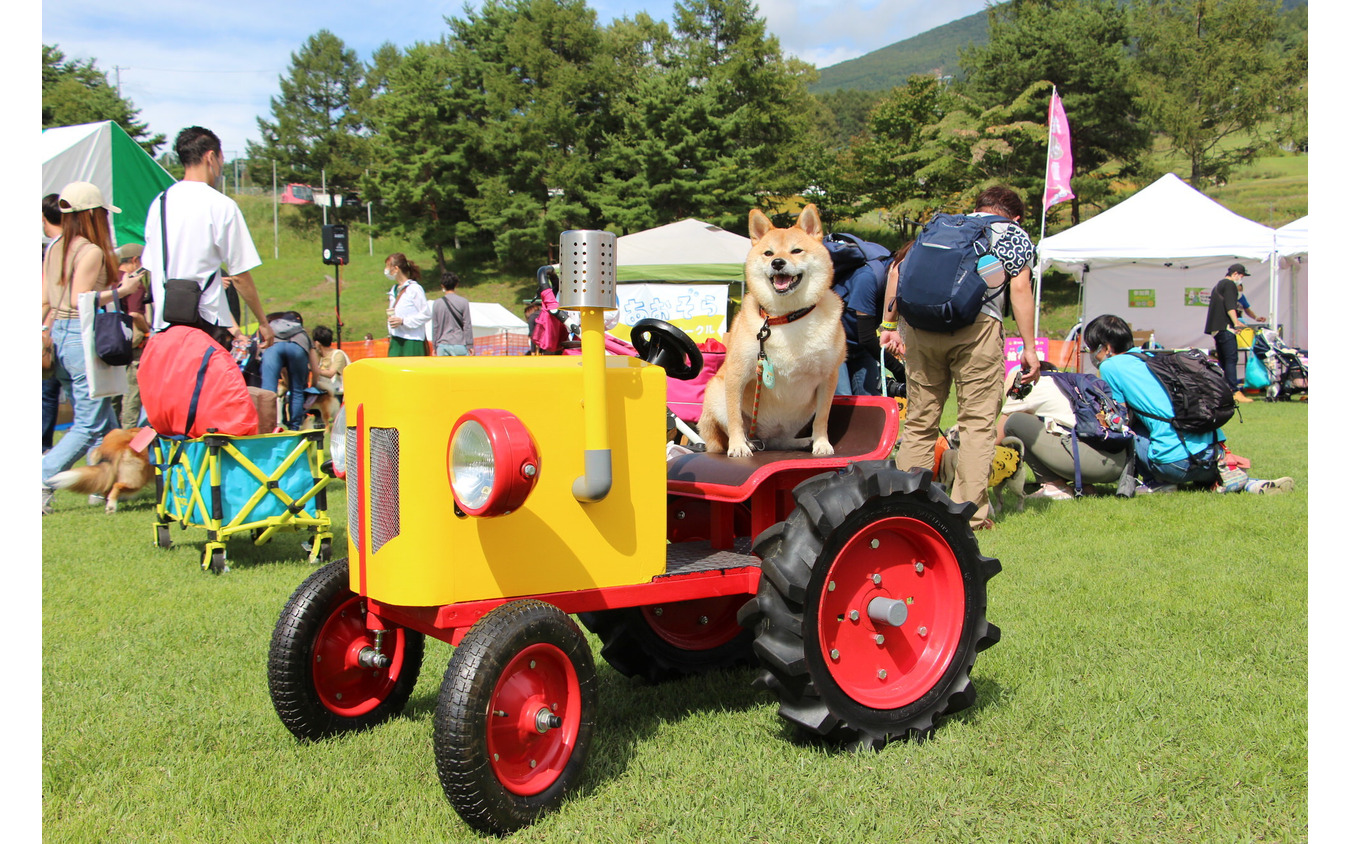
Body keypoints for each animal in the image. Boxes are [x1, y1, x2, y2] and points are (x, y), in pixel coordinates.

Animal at [696, 201, 842, 456]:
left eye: (796, 251)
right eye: (769, 253)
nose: (778, 263)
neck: (786, 319)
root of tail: (763, 437)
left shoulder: (828, 376)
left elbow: (822, 417)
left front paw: (822, 442)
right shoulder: (737, 375)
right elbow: (735, 417)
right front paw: (737, 446)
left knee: (780, 441)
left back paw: (802, 441)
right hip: (715, 392)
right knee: (737, 427)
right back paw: (746, 442)